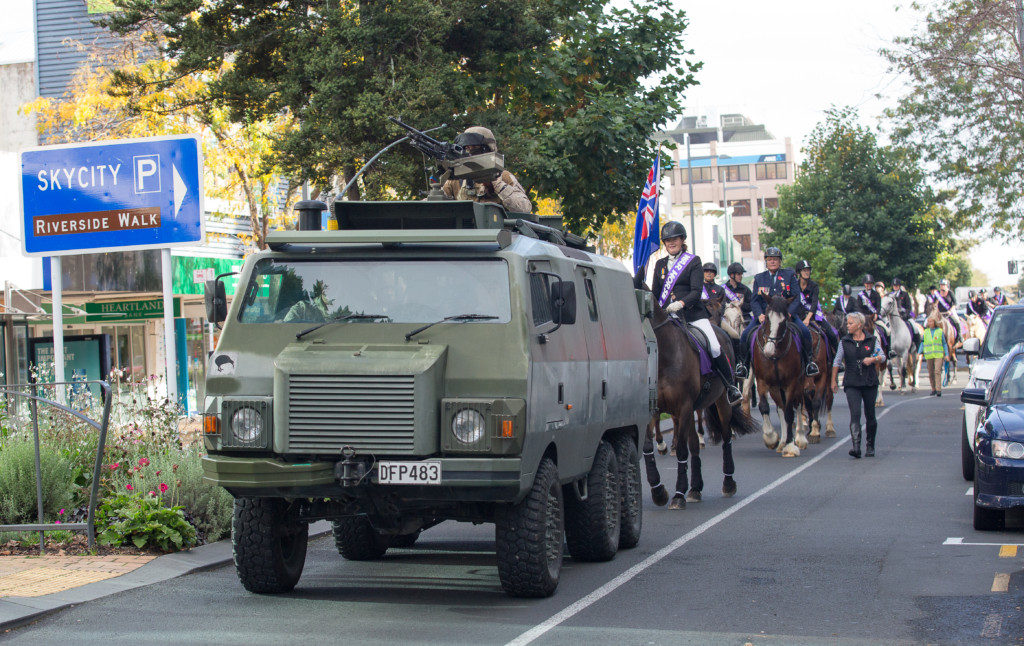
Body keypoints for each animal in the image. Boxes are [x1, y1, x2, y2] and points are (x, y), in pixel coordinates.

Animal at [647, 303, 761, 509]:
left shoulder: (683, 407)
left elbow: (682, 449)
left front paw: (678, 495)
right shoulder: (654, 409)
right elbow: (646, 447)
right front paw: (658, 492)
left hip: (722, 401)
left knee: (726, 438)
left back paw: (728, 483)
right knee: (694, 445)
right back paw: (695, 488)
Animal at [753, 294, 806, 456]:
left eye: (783, 321)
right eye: (767, 318)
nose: (768, 350)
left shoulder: (792, 382)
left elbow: (790, 412)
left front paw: (791, 445)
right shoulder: (762, 381)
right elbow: (765, 406)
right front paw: (771, 438)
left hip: (799, 383)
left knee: (797, 404)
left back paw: (799, 438)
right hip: (776, 388)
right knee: (780, 407)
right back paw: (782, 441)